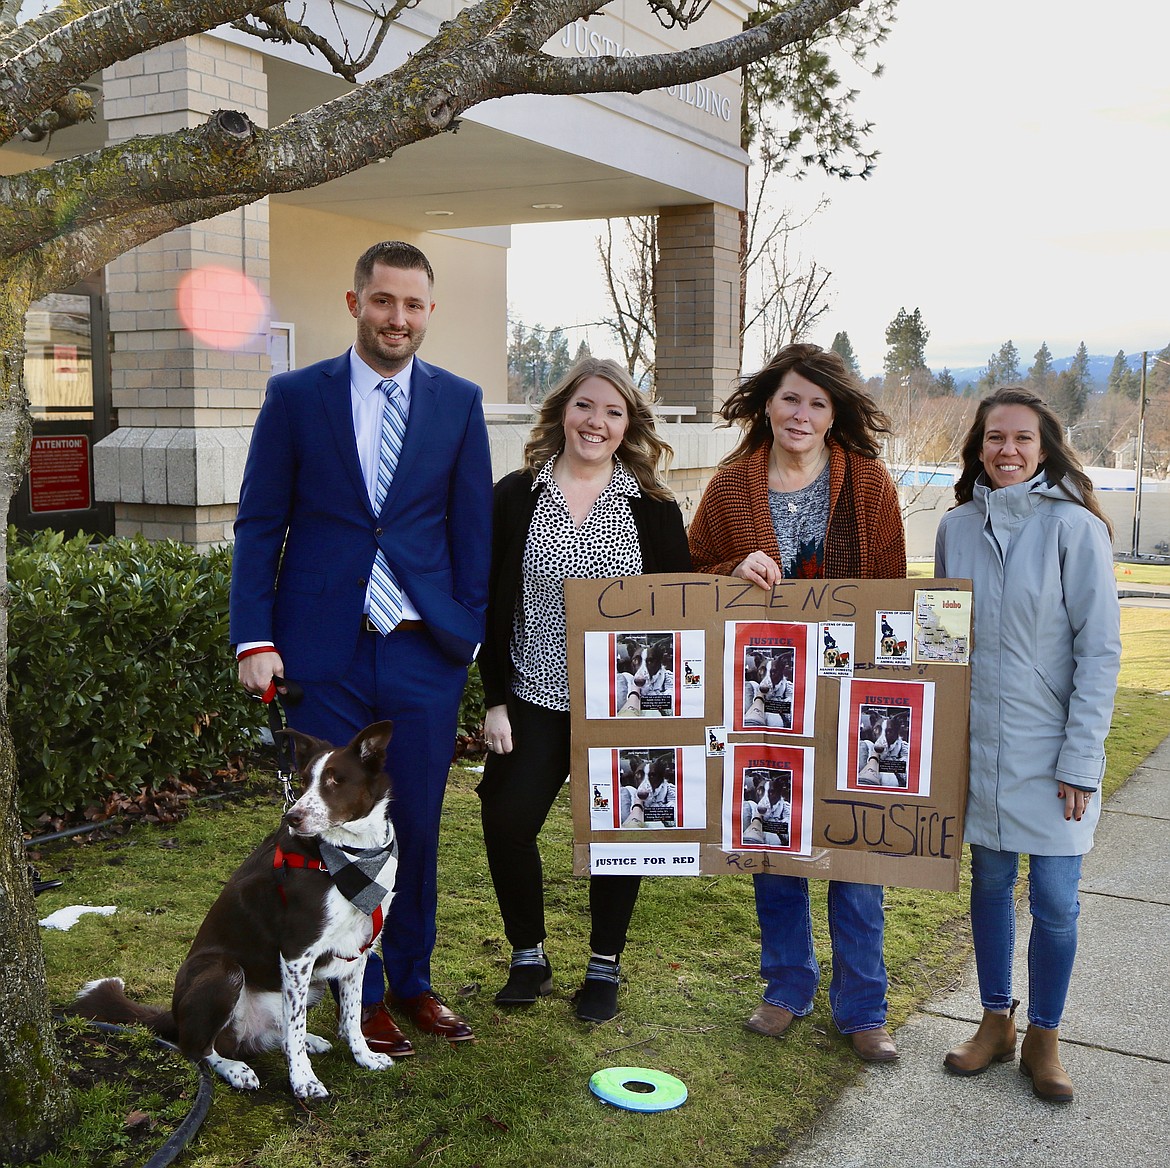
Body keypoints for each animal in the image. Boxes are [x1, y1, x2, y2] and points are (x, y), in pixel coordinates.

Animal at [76, 720, 402, 1095]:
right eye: (305, 780)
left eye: (336, 779)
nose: (292, 817)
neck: (354, 855)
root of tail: (174, 1014)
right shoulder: (297, 951)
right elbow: (296, 1025)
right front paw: (303, 1081)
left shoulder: (357, 948)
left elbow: (351, 1015)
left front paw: (364, 1056)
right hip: (223, 972)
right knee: (198, 1048)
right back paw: (235, 1068)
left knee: (274, 1030)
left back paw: (309, 1041)